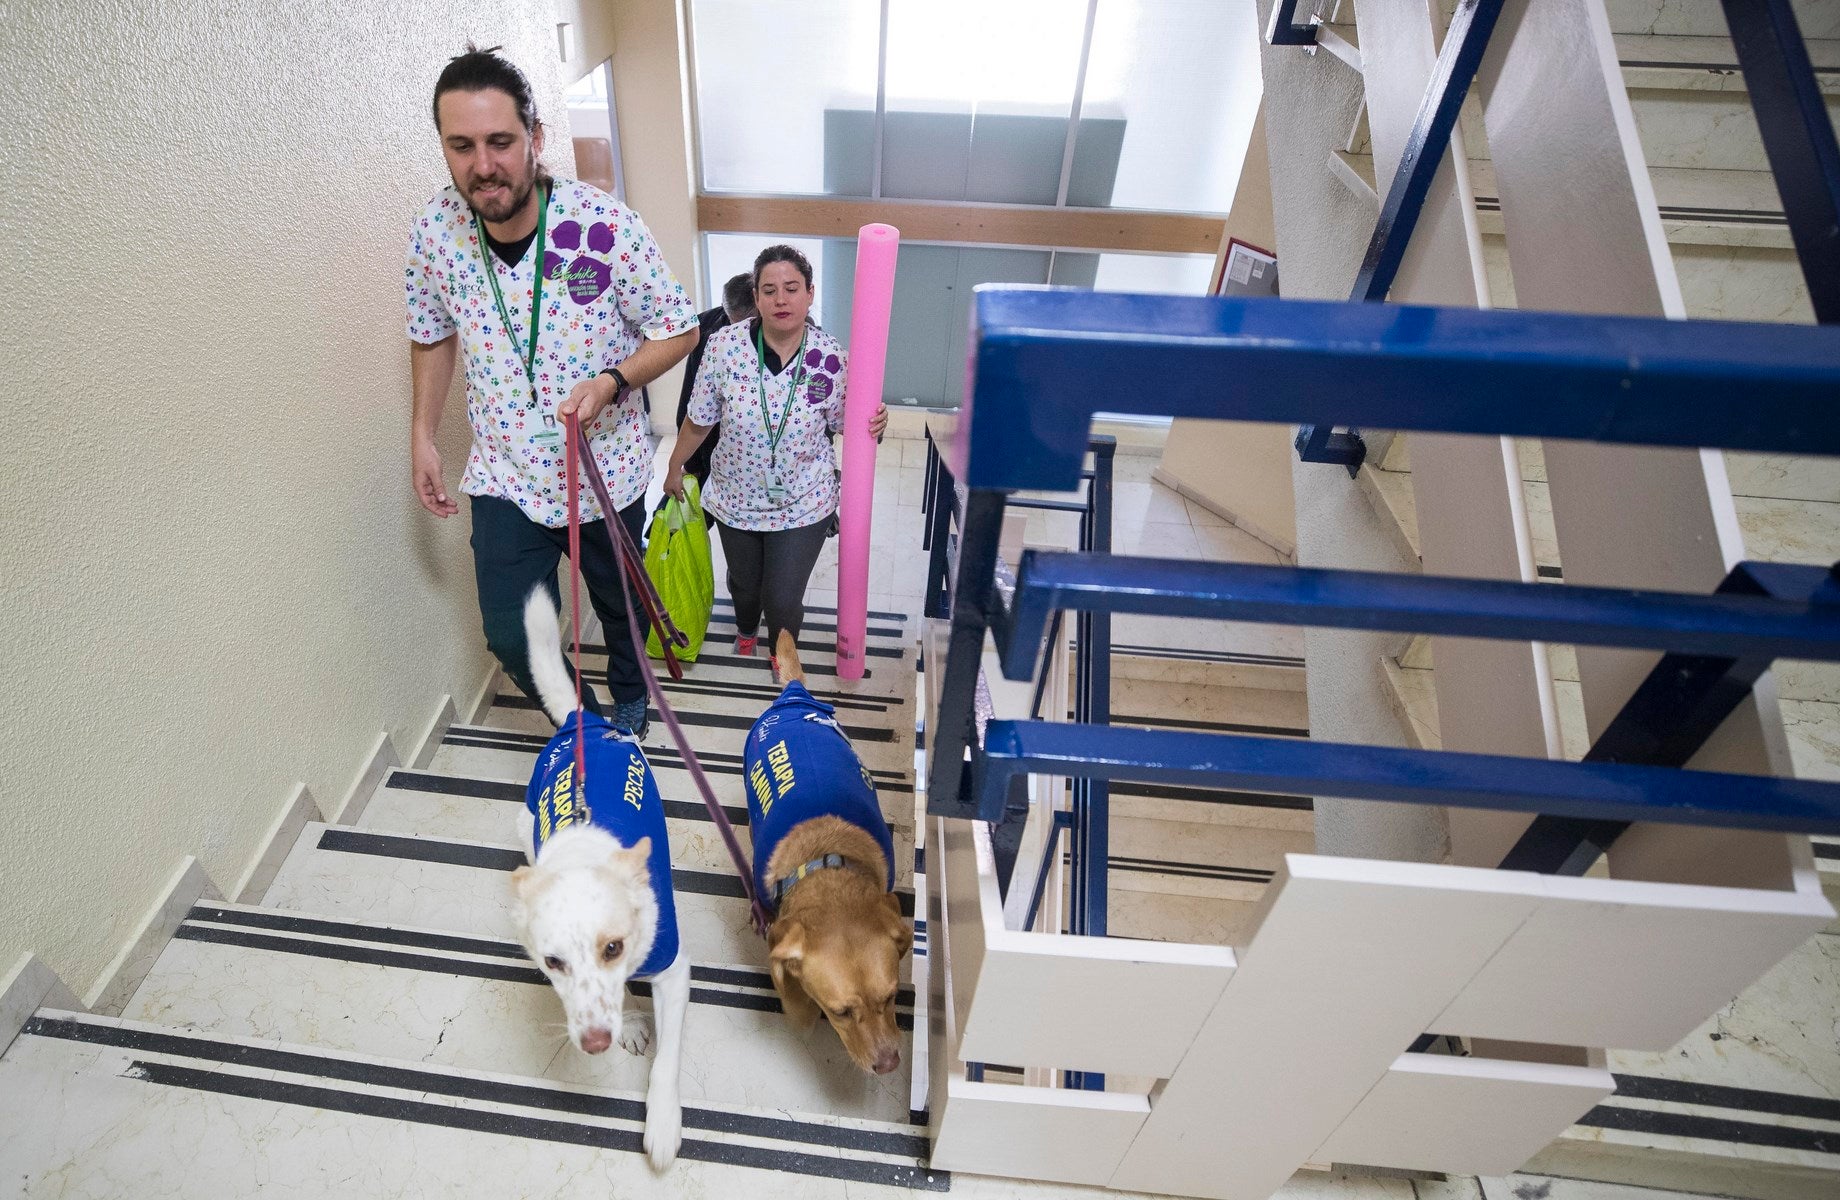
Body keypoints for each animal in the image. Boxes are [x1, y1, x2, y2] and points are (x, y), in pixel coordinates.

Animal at [511, 585, 691, 1170]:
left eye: (613, 948)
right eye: (552, 963)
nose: (592, 1043)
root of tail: (578, 721)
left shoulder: (674, 969)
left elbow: (668, 1061)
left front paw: (662, 1121)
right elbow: (622, 998)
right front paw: (630, 1021)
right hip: (523, 820)